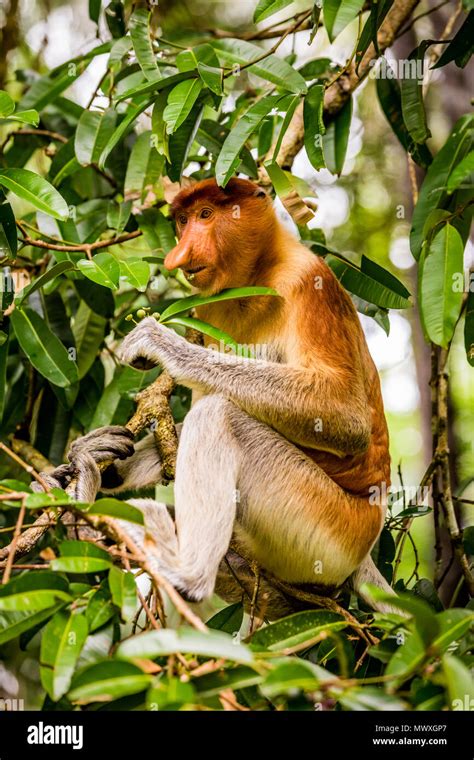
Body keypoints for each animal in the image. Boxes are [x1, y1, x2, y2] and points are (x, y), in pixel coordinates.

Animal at [47, 180, 396, 616]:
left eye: (206, 215)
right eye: (182, 221)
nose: (177, 256)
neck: (260, 274)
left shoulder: (310, 280)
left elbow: (346, 417)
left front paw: (159, 343)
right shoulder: (209, 311)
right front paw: (94, 452)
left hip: (327, 528)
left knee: (221, 415)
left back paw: (181, 570)